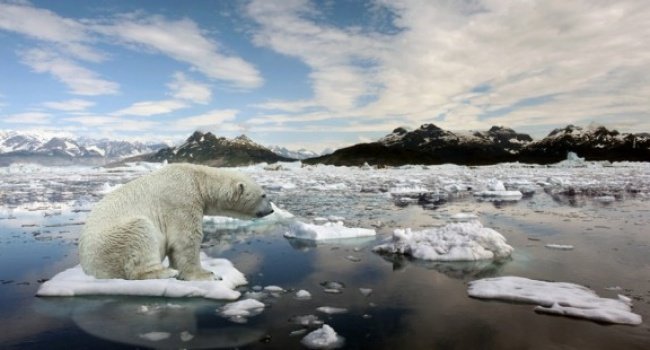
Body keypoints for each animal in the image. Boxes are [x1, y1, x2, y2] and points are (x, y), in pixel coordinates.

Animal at [78, 163, 270, 280]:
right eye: (264, 195)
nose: (271, 210)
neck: (197, 179)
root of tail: (88, 269)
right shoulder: (181, 200)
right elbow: (186, 240)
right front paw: (209, 275)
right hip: (113, 241)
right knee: (140, 233)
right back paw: (165, 272)